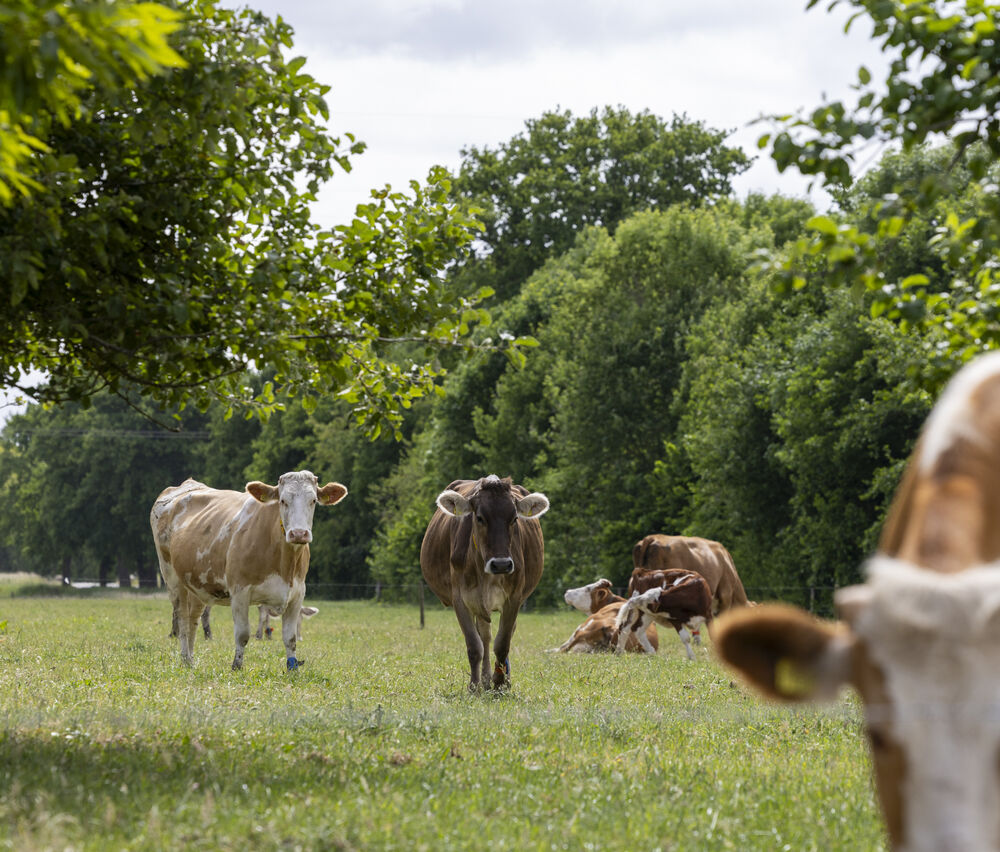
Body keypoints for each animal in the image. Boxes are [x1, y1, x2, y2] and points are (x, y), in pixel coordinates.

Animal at [151, 472, 347, 671]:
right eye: (283, 501)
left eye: (313, 500)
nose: (299, 533)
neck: (284, 564)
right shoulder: (239, 592)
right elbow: (243, 634)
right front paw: (236, 667)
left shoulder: (297, 594)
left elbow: (290, 638)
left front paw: (293, 669)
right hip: (173, 578)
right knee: (182, 618)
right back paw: (184, 658)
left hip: (197, 584)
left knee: (193, 619)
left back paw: (190, 660)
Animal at [420, 474, 549, 690]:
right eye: (479, 517)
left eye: (514, 519)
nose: (501, 564)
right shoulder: (460, 599)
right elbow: (474, 646)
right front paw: (474, 686)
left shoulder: (514, 598)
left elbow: (503, 644)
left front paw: (499, 683)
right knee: (485, 635)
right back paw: (485, 678)